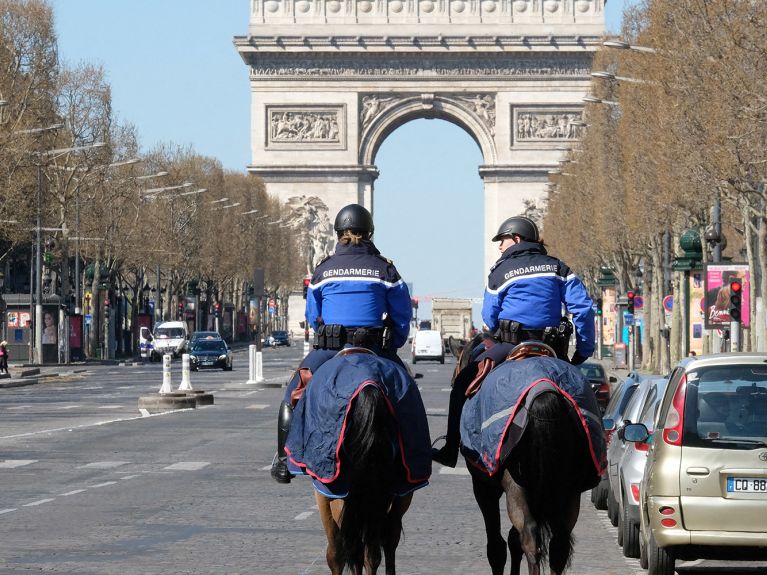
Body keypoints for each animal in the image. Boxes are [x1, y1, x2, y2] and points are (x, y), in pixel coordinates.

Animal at [286, 352, 432, 575]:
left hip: (340, 489)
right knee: (381, 544)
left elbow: (336, 552)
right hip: (400, 487)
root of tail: (369, 384)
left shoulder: (324, 494)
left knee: (352, 545)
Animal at [452, 342, 604, 575]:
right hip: (569, 489)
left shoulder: (483, 487)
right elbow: (513, 540)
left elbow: (496, 546)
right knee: (559, 544)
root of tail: (545, 388)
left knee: (530, 539)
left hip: (516, 484)